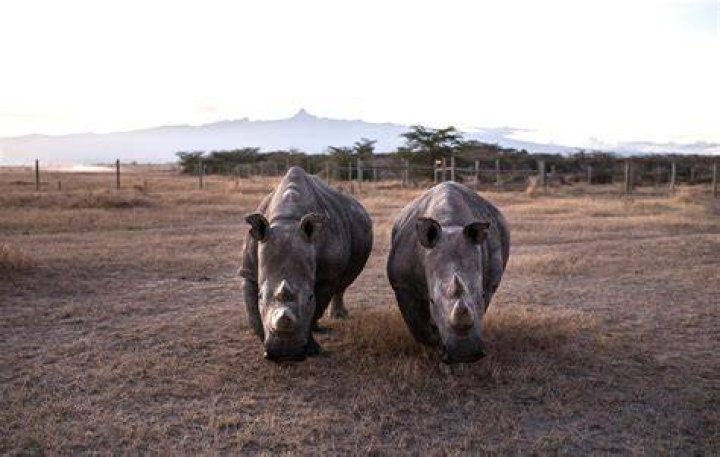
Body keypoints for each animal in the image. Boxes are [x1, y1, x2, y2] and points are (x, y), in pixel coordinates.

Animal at [240, 167, 373, 361]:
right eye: (261, 296)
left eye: (310, 297)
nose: (285, 354)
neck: (288, 220)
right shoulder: (248, 270)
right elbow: (252, 311)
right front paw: (264, 341)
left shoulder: (327, 277)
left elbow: (317, 306)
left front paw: (312, 349)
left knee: (345, 282)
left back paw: (337, 318)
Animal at [387, 182, 510, 363]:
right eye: (432, 301)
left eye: (481, 295)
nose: (464, 353)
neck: (449, 223)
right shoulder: (403, 284)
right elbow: (417, 325)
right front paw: (432, 349)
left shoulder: (489, 284)